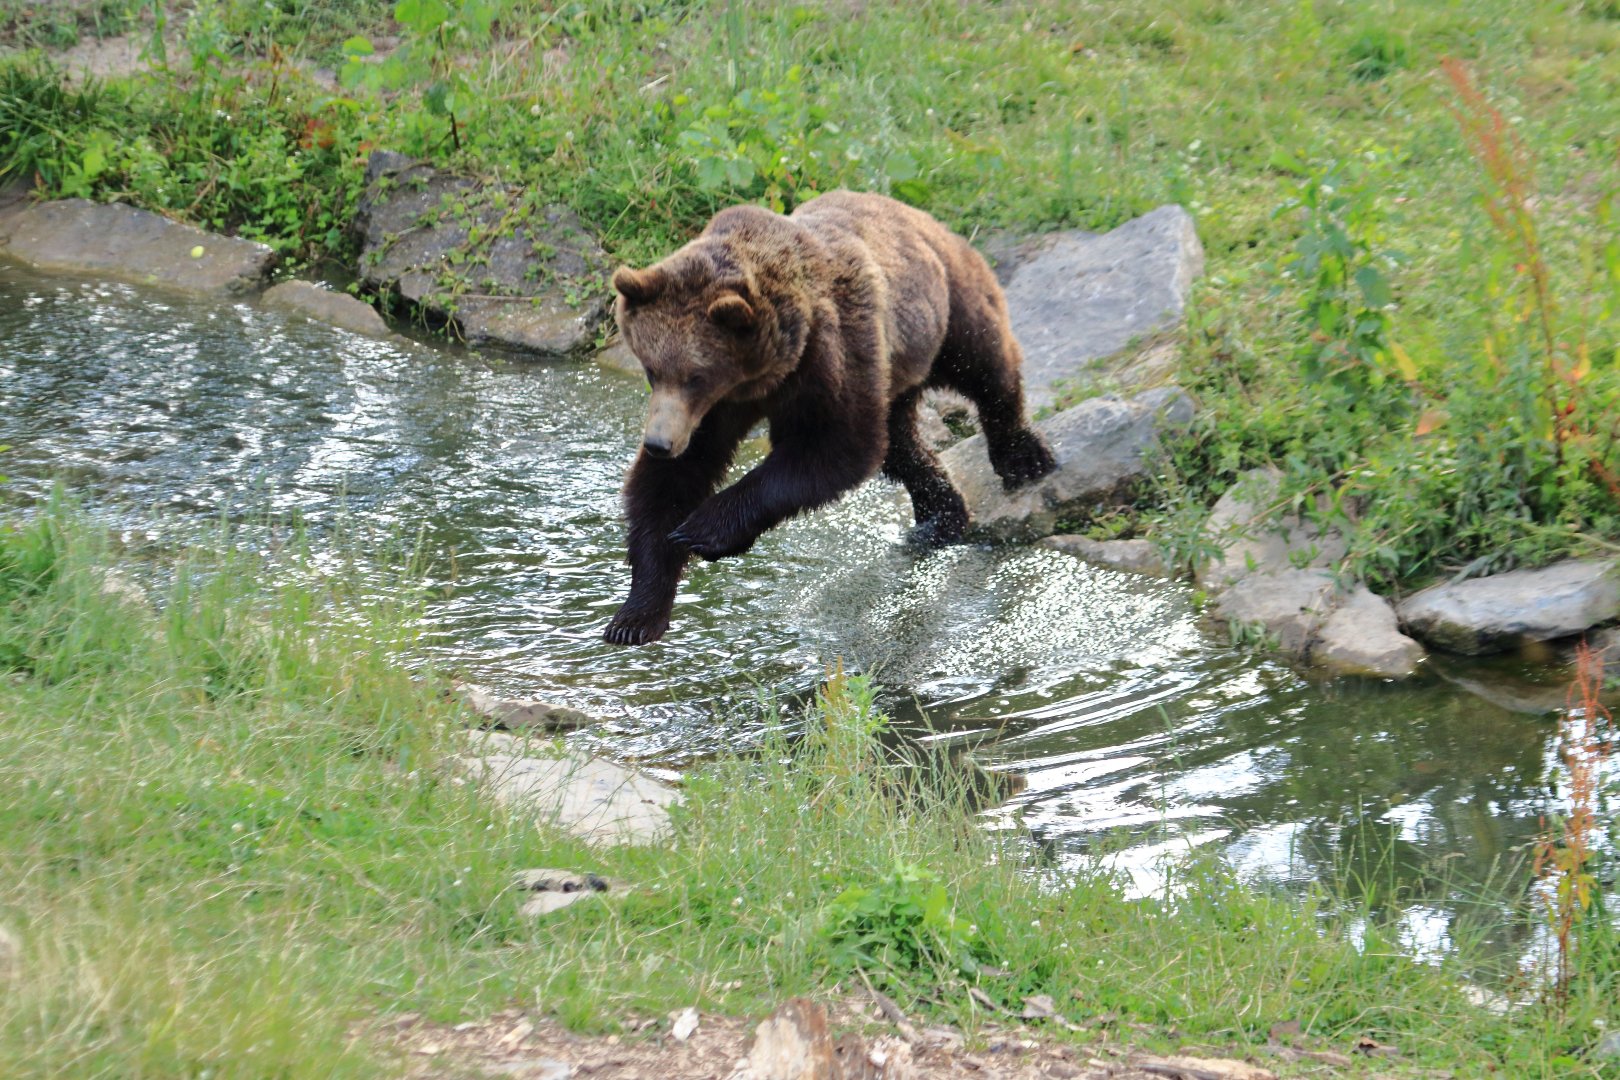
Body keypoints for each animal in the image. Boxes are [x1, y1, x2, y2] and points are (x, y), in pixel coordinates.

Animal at [602, 190, 1057, 646]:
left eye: (696, 376)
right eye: (650, 369)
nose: (659, 444)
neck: (765, 372)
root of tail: (914, 212)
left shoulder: (830, 353)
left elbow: (835, 447)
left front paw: (704, 529)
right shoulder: (712, 410)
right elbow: (673, 481)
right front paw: (636, 613)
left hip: (941, 304)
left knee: (985, 365)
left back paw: (1023, 458)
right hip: (894, 370)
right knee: (900, 445)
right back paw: (939, 517)